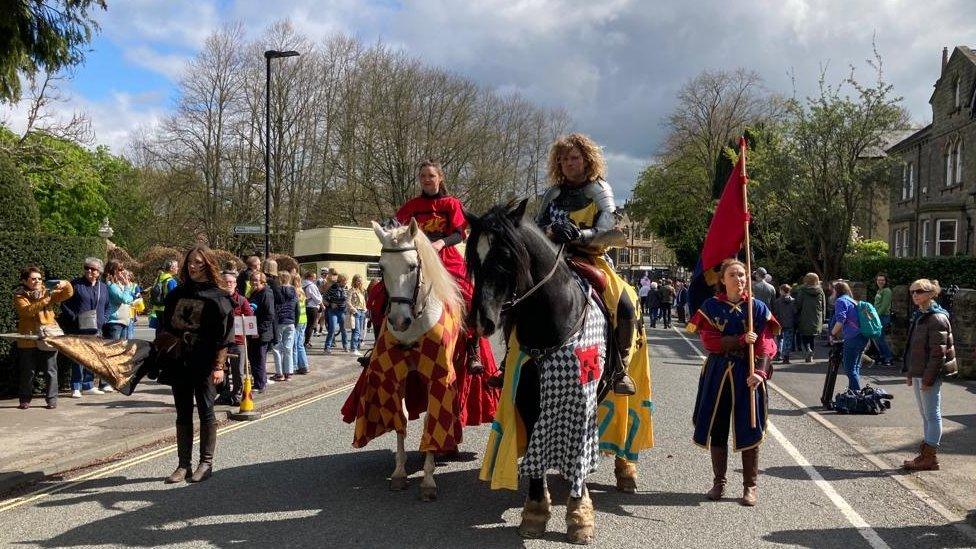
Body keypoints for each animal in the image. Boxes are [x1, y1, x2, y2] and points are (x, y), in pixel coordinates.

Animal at [356, 219, 468, 500]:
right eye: (381, 267)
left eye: (412, 266)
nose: (399, 321)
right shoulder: (393, 376)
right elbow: (402, 418)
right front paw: (399, 472)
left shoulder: (438, 376)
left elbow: (432, 419)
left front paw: (428, 479)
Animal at [468, 198, 608, 544]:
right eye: (473, 257)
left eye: (505, 256)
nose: (481, 321)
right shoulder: (527, 398)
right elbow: (536, 448)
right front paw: (534, 510)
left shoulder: (583, 399)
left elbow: (580, 449)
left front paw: (579, 514)